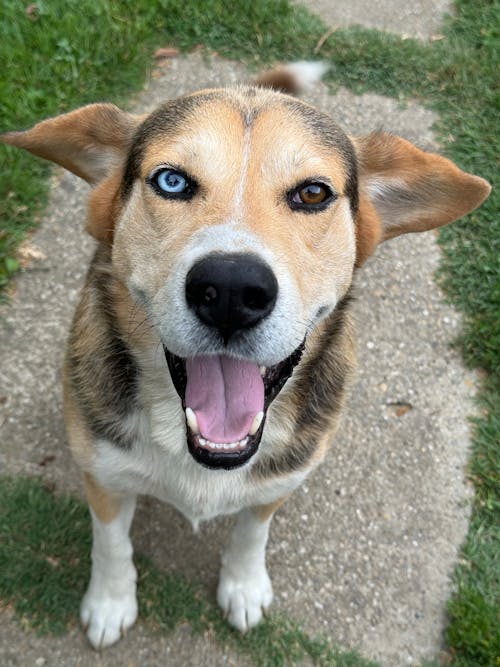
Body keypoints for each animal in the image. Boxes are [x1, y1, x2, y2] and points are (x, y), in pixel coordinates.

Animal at [1, 61, 490, 648]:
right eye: (171, 181)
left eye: (313, 193)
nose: (231, 290)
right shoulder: (104, 476)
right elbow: (112, 544)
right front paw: (110, 601)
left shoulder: (277, 481)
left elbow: (252, 532)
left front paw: (243, 586)